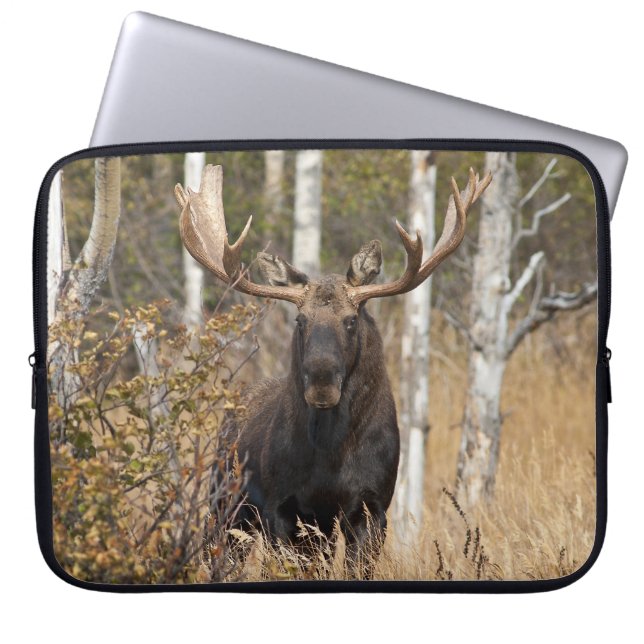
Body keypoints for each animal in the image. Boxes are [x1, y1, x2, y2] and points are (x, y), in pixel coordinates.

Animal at [175, 162, 491, 579]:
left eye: (351, 320)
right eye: (300, 320)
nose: (322, 384)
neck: (330, 457)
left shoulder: (372, 506)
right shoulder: (282, 507)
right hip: (225, 505)